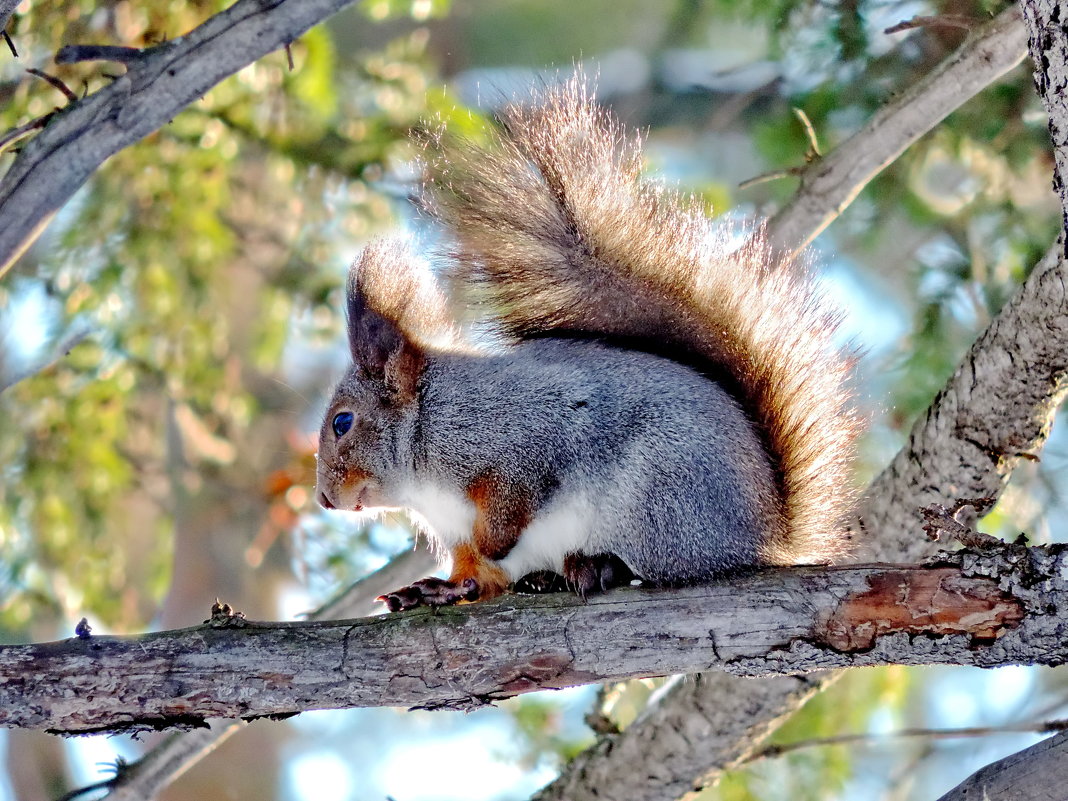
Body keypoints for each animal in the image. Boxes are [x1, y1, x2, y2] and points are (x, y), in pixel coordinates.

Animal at [313, 80, 858, 615]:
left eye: (343, 423)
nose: (323, 500)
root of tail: (766, 536)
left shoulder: (522, 433)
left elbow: (517, 493)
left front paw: (494, 539)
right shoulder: (458, 529)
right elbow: (477, 576)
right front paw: (440, 587)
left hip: (661, 497)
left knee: (665, 564)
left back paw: (600, 565)